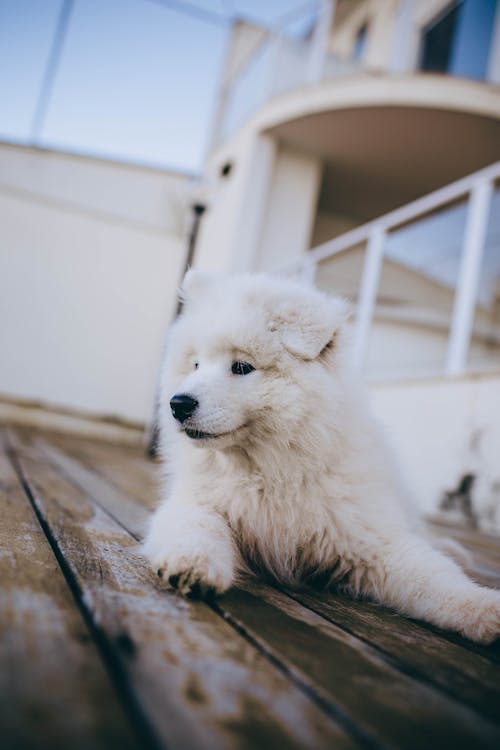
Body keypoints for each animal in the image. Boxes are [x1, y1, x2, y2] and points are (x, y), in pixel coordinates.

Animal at [145, 270, 500, 648]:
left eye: (241, 367)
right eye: (196, 364)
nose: (178, 404)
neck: (269, 471)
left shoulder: (371, 538)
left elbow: (434, 577)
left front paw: (484, 608)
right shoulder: (197, 501)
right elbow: (196, 526)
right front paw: (191, 564)